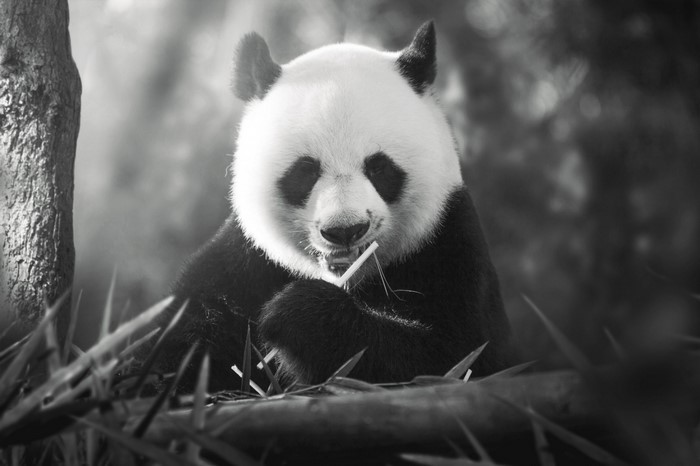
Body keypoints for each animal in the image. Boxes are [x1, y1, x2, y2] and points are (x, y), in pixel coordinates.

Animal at [152, 21, 514, 391]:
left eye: (379, 167)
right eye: (305, 171)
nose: (345, 230)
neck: (347, 280)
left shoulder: (448, 245)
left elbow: (452, 358)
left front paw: (296, 314)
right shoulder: (246, 262)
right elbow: (183, 336)